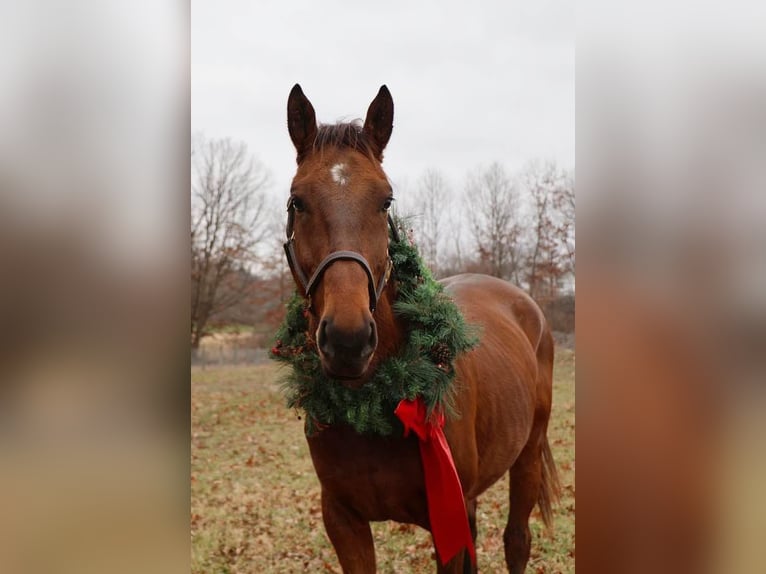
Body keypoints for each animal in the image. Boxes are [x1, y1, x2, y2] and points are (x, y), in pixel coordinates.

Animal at [282, 85, 560, 574]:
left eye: (386, 201)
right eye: (298, 201)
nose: (348, 340)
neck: (372, 405)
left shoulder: (447, 520)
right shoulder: (343, 521)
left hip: (526, 455)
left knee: (517, 540)